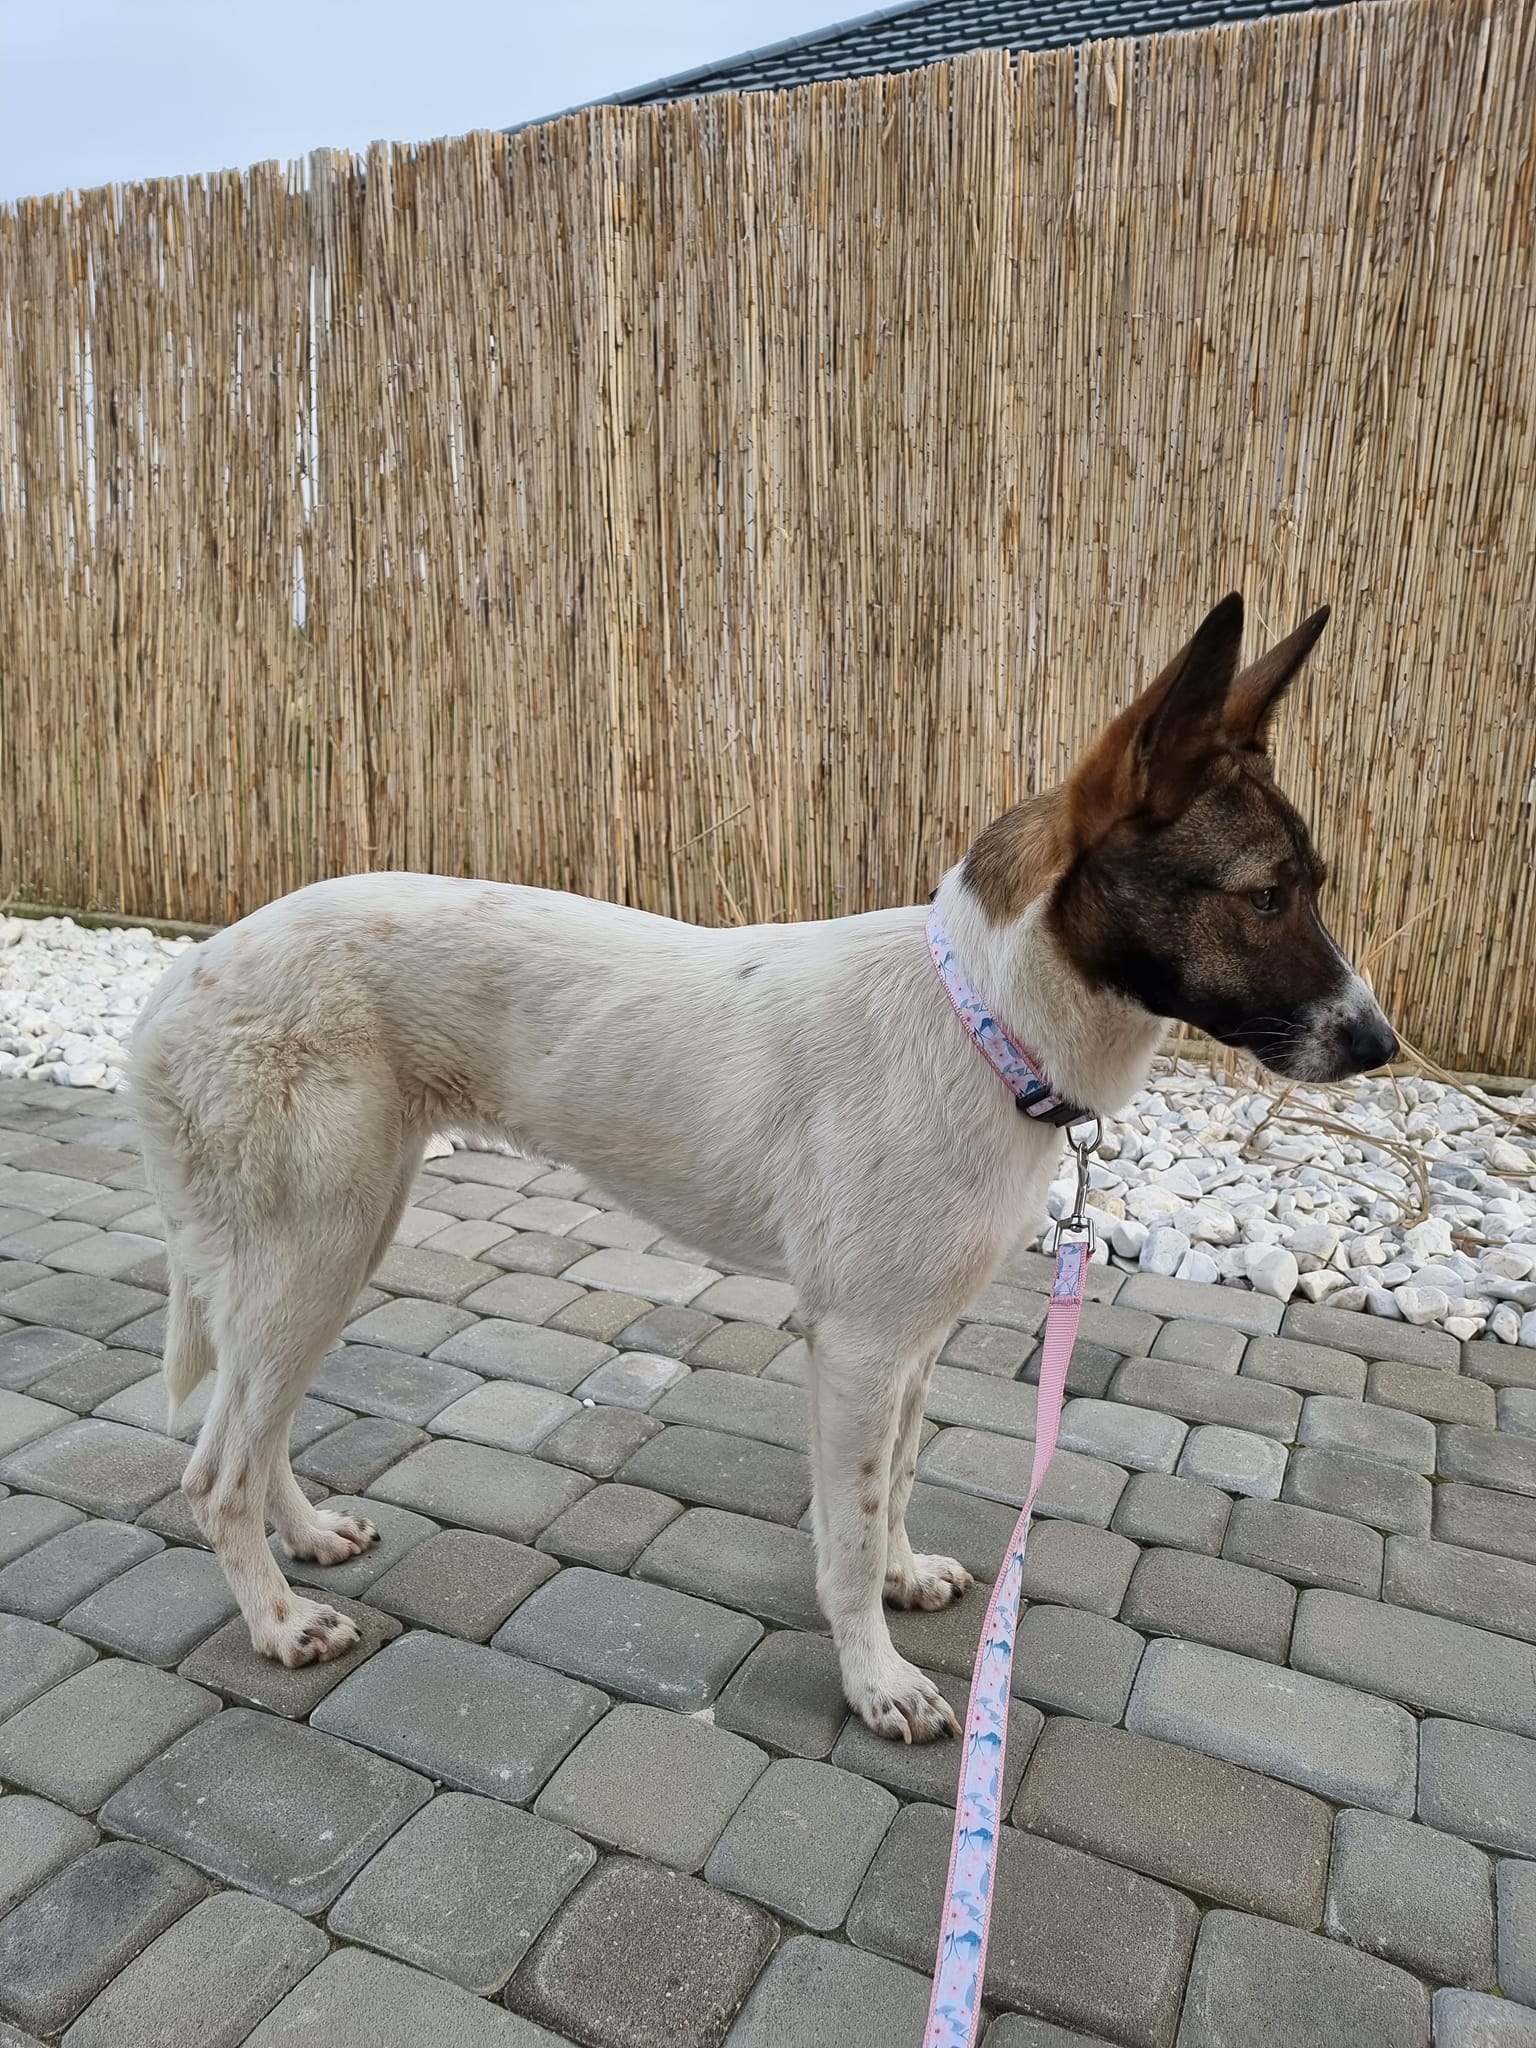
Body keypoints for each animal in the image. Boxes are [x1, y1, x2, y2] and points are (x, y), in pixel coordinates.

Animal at [130, 593, 1395, 1743]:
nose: (1381, 1045)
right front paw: (875, 1678)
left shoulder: (912, 1343)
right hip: (314, 1249)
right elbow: (847, 1530)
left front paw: (901, 1581)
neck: (981, 1016)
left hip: (332, 1246)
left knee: (255, 1430)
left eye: (1314, 886)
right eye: (1266, 895)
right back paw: (278, 1620)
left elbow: (895, 1486)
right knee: (214, 1472)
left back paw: (308, 1539)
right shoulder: (859, 1345)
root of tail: (183, 977)